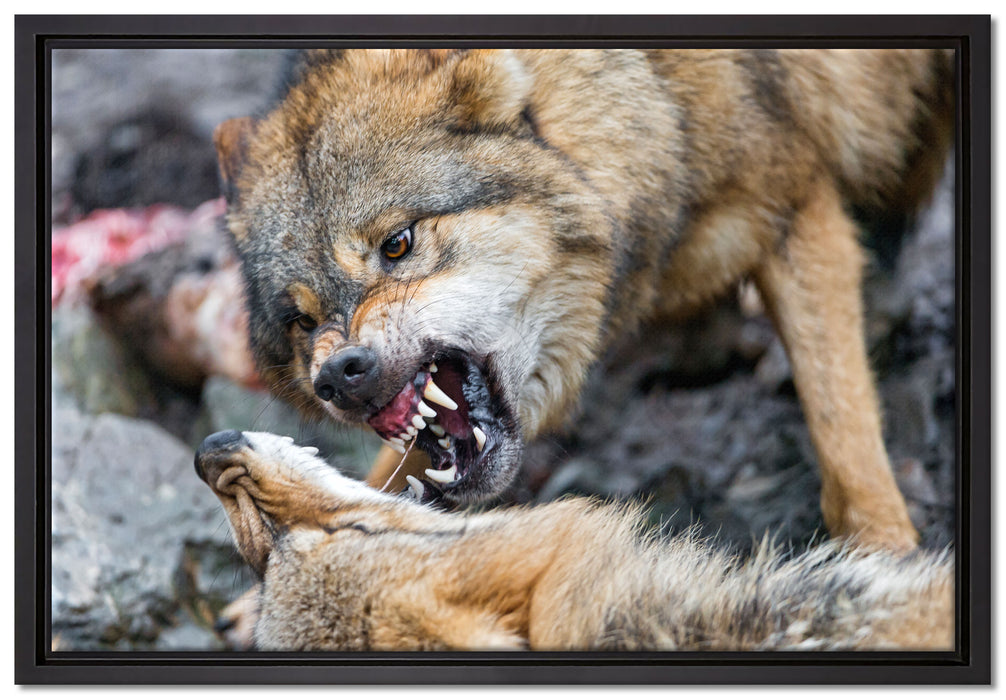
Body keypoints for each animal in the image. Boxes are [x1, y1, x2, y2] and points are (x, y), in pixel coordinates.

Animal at [213, 48, 954, 550]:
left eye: (397, 244)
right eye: (302, 321)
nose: (340, 374)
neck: (655, 102)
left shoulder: (798, 204)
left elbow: (840, 419)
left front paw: (883, 551)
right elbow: (393, 477)